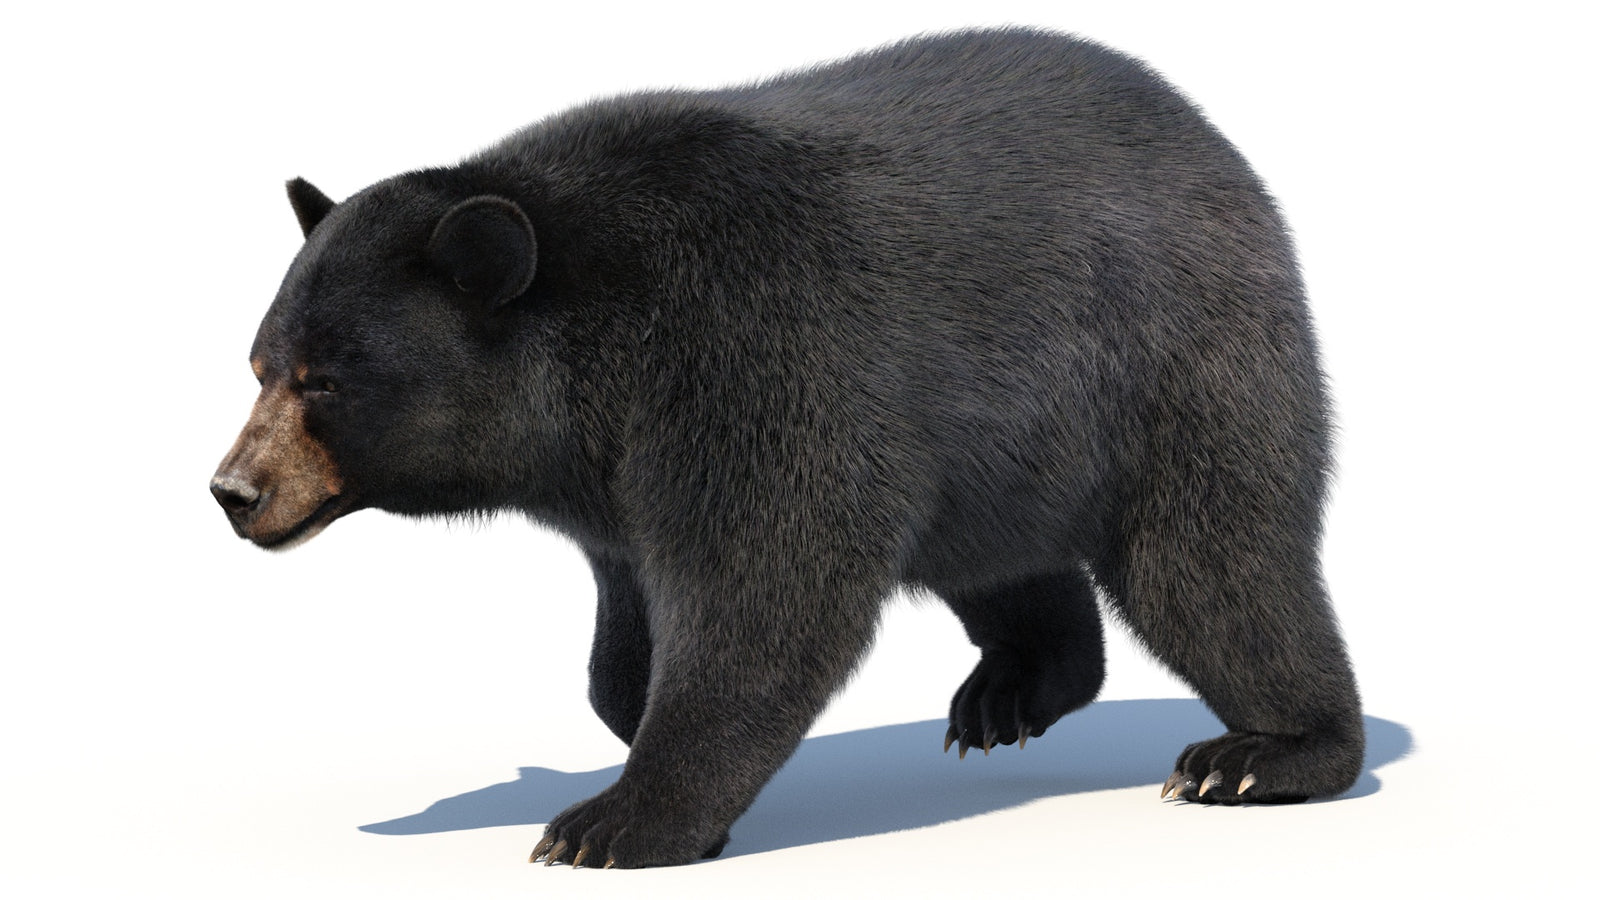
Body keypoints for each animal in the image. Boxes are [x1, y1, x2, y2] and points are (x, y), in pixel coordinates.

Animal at [211, 27, 1364, 869]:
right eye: (259, 363)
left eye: (326, 380)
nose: (233, 490)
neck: (594, 359)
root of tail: (1219, 150)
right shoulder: (617, 480)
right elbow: (630, 633)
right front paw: (638, 735)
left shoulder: (751, 361)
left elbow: (766, 591)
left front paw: (614, 824)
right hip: (1002, 451)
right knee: (1006, 555)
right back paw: (1016, 688)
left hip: (1174, 367)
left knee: (1214, 564)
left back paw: (1262, 753)